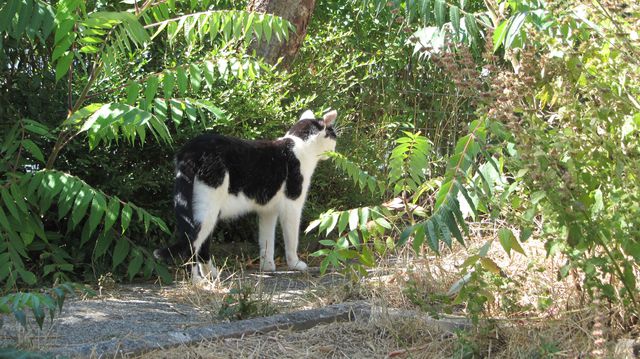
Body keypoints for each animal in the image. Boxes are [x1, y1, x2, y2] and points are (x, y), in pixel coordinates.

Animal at [154, 109, 340, 284]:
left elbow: (266, 239)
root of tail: (190, 149)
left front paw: (267, 266)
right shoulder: (292, 205)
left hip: (207, 211)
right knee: (192, 243)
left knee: (202, 245)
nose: (335, 149)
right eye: (333, 135)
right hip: (207, 207)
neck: (300, 145)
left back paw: (212, 274)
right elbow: (292, 238)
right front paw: (295, 264)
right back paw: (197, 281)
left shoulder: (268, 210)